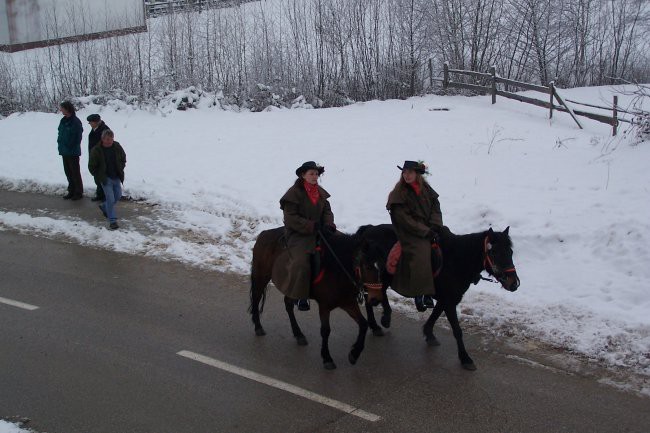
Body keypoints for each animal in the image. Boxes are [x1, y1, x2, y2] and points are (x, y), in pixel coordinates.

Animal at [247, 226, 380, 368]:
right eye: (368, 266)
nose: (375, 299)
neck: (338, 268)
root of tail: (263, 234)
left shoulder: (348, 302)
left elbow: (363, 324)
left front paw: (354, 354)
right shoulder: (324, 306)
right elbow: (325, 331)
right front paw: (327, 358)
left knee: (288, 304)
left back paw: (298, 334)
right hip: (261, 276)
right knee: (256, 298)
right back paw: (258, 327)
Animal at [356, 224, 520, 370]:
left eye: (511, 252)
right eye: (495, 252)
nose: (514, 283)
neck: (456, 260)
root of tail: (368, 229)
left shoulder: (448, 299)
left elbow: (434, 315)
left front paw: (429, 334)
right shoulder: (449, 301)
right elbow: (457, 330)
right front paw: (465, 358)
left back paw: (381, 322)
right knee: (372, 300)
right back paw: (380, 323)